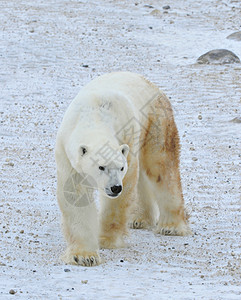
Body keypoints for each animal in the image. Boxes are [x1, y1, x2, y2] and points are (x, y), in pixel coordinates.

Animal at [55, 71, 191, 266]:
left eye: (120, 168)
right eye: (101, 167)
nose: (115, 188)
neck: (94, 116)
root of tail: (153, 86)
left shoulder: (128, 137)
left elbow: (123, 191)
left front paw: (106, 240)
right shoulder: (67, 154)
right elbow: (76, 195)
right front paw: (83, 256)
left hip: (155, 122)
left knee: (160, 169)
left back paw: (171, 226)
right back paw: (139, 219)